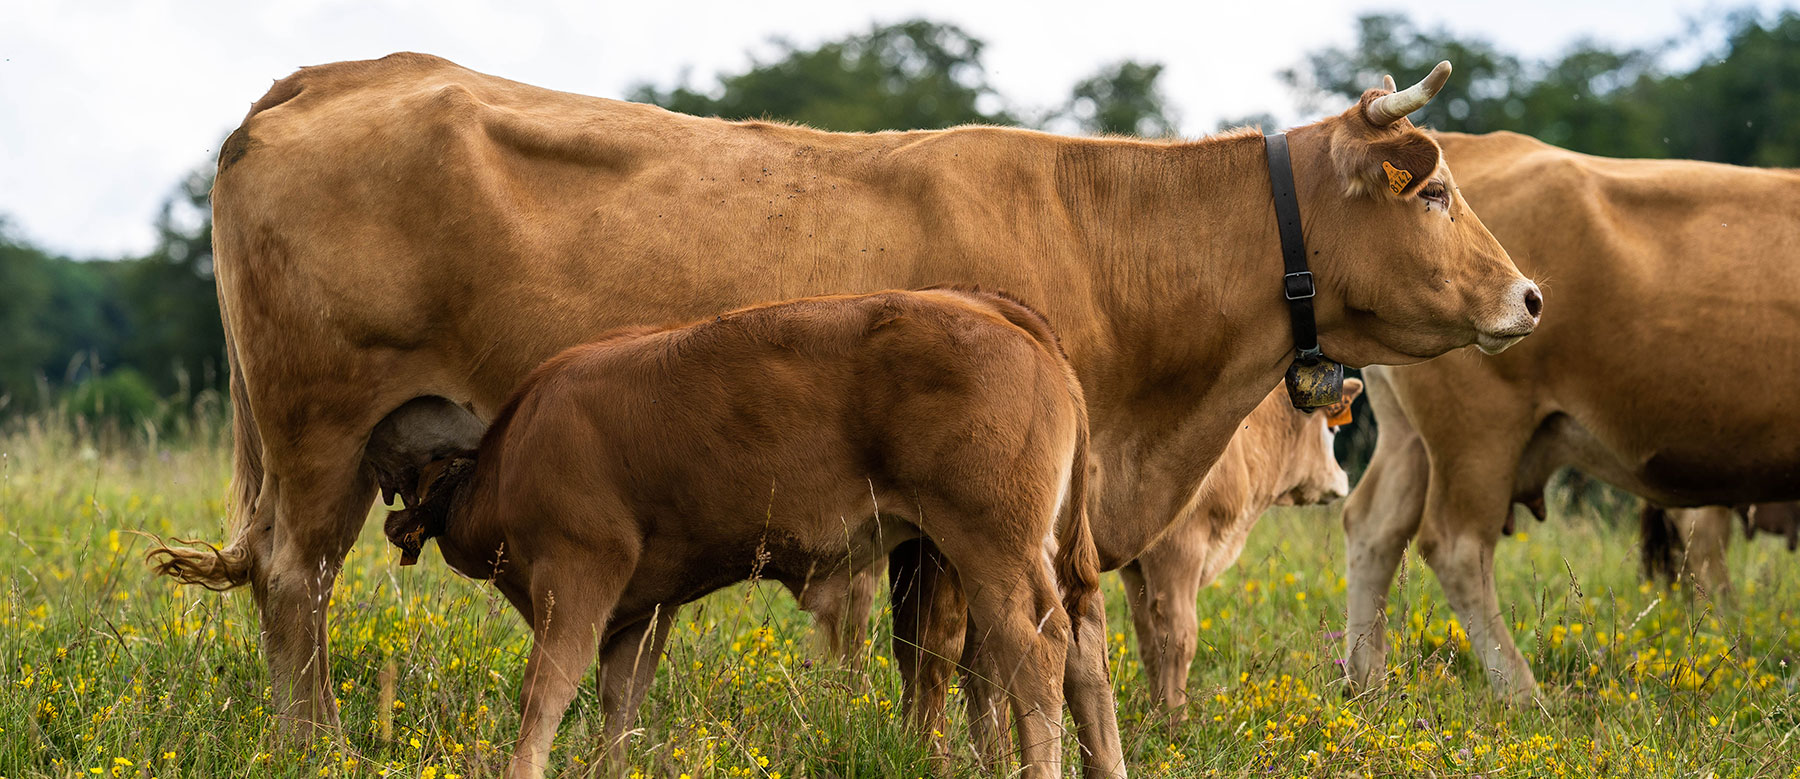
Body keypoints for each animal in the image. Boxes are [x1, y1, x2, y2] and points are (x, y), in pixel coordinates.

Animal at [374, 286, 1101, 777]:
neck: (511, 449)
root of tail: (994, 309)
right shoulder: (646, 606)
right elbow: (620, 700)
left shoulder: (578, 573)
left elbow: (546, 689)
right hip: (1018, 555)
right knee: (1061, 651)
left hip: (993, 551)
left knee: (1037, 650)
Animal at [1346, 130, 1800, 701]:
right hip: (1478, 431)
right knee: (1456, 546)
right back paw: (1522, 695)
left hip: (1409, 436)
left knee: (1373, 528)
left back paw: (1364, 684)